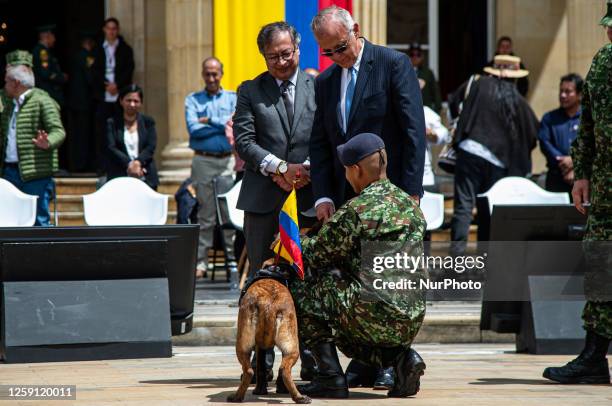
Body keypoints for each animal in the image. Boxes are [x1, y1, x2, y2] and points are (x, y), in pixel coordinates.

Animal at [227, 270, 310, 402]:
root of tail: (269, 304)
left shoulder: (259, 347)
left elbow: (260, 367)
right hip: (291, 346)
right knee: (284, 370)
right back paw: (299, 397)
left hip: (242, 345)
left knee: (249, 371)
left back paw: (237, 397)